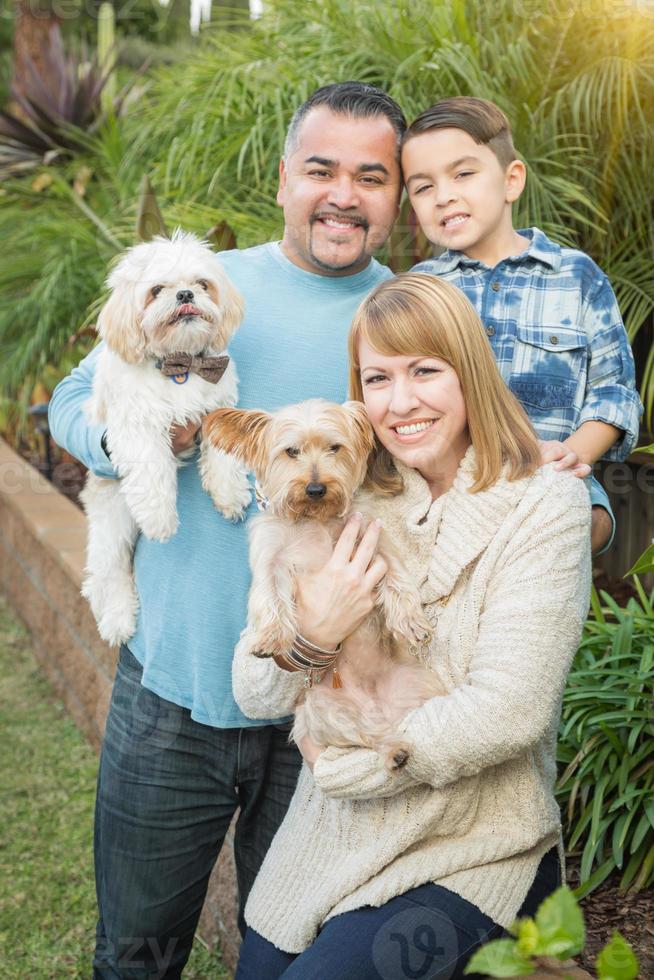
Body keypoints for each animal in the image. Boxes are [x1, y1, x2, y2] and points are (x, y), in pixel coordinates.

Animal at [84, 226, 251, 648]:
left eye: (202, 284)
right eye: (156, 290)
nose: (186, 295)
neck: (183, 365)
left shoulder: (216, 408)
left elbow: (223, 455)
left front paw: (229, 494)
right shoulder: (136, 427)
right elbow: (151, 470)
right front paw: (160, 517)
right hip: (112, 519)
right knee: (105, 574)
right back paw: (117, 617)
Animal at [206, 398, 452, 772]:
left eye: (334, 447)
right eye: (291, 451)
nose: (316, 488)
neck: (314, 518)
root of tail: (377, 708)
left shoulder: (376, 542)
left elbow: (398, 579)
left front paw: (411, 622)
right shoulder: (270, 558)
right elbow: (269, 596)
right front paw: (270, 636)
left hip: (417, 683)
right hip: (322, 708)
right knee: (366, 735)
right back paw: (393, 751)